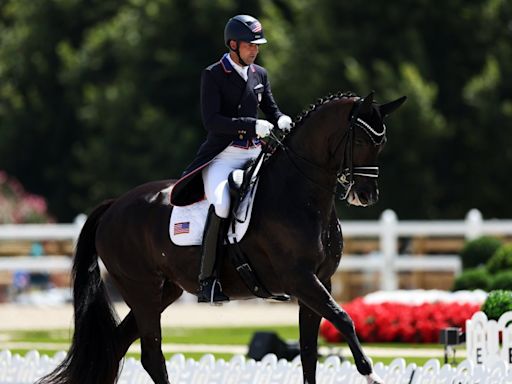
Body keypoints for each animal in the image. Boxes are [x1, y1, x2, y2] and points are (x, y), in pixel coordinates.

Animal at [38, 91, 406, 384]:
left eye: (382, 143)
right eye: (360, 141)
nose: (365, 195)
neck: (298, 195)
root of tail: (114, 205)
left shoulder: (320, 282)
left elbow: (309, 353)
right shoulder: (301, 280)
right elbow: (344, 319)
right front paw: (370, 373)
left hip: (164, 291)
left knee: (117, 346)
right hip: (141, 289)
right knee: (151, 355)